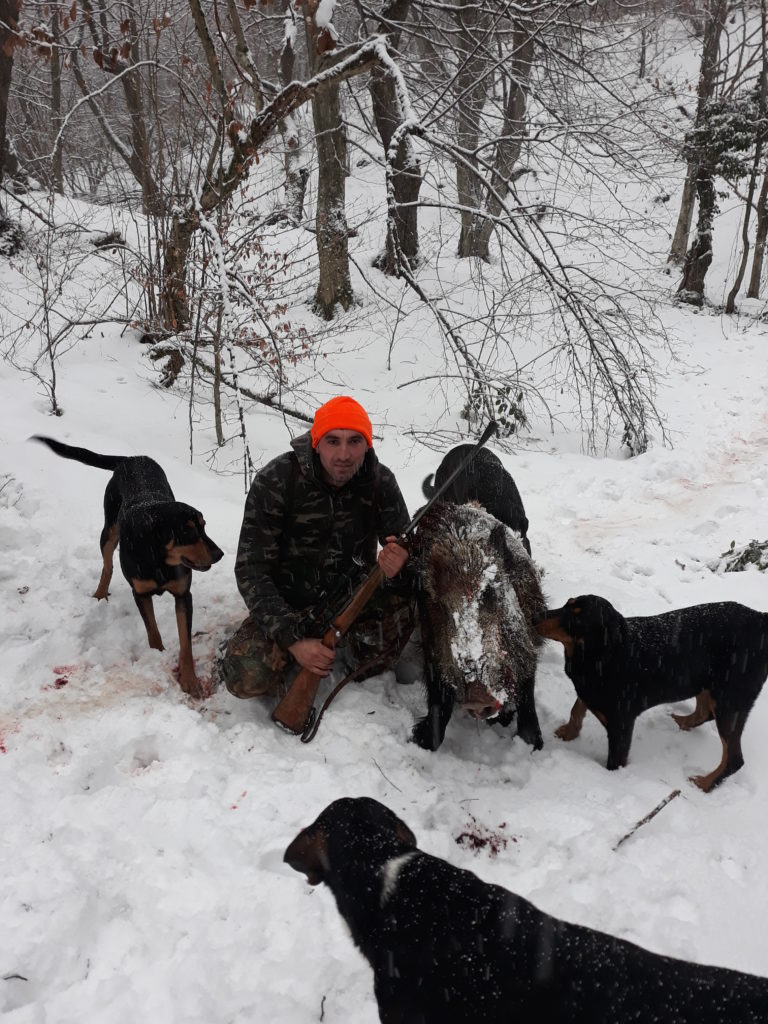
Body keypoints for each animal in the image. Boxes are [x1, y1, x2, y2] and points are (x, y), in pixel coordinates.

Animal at [32, 436, 223, 699]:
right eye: (188, 531)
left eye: (203, 526)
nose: (219, 554)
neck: (159, 559)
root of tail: (132, 458)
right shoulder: (140, 593)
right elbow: (153, 632)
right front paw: (158, 657)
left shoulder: (184, 594)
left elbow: (186, 643)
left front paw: (190, 680)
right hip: (109, 528)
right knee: (107, 564)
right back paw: (100, 593)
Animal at [410, 500, 545, 751]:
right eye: (439, 605)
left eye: (489, 591)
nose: (477, 699)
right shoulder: (431, 649)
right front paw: (419, 740)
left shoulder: (527, 643)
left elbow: (527, 701)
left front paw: (533, 745)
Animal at [535, 594, 768, 791]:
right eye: (567, 603)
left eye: (577, 618)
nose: (535, 615)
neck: (604, 654)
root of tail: (760, 619)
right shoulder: (588, 688)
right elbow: (577, 706)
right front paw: (569, 731)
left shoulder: (621, 724)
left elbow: (615, 761)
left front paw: (611, 781)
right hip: (706, 683)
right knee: (705, 713)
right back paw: (681, 722)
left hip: (731, 698)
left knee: (734, 757)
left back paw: (704, 784)